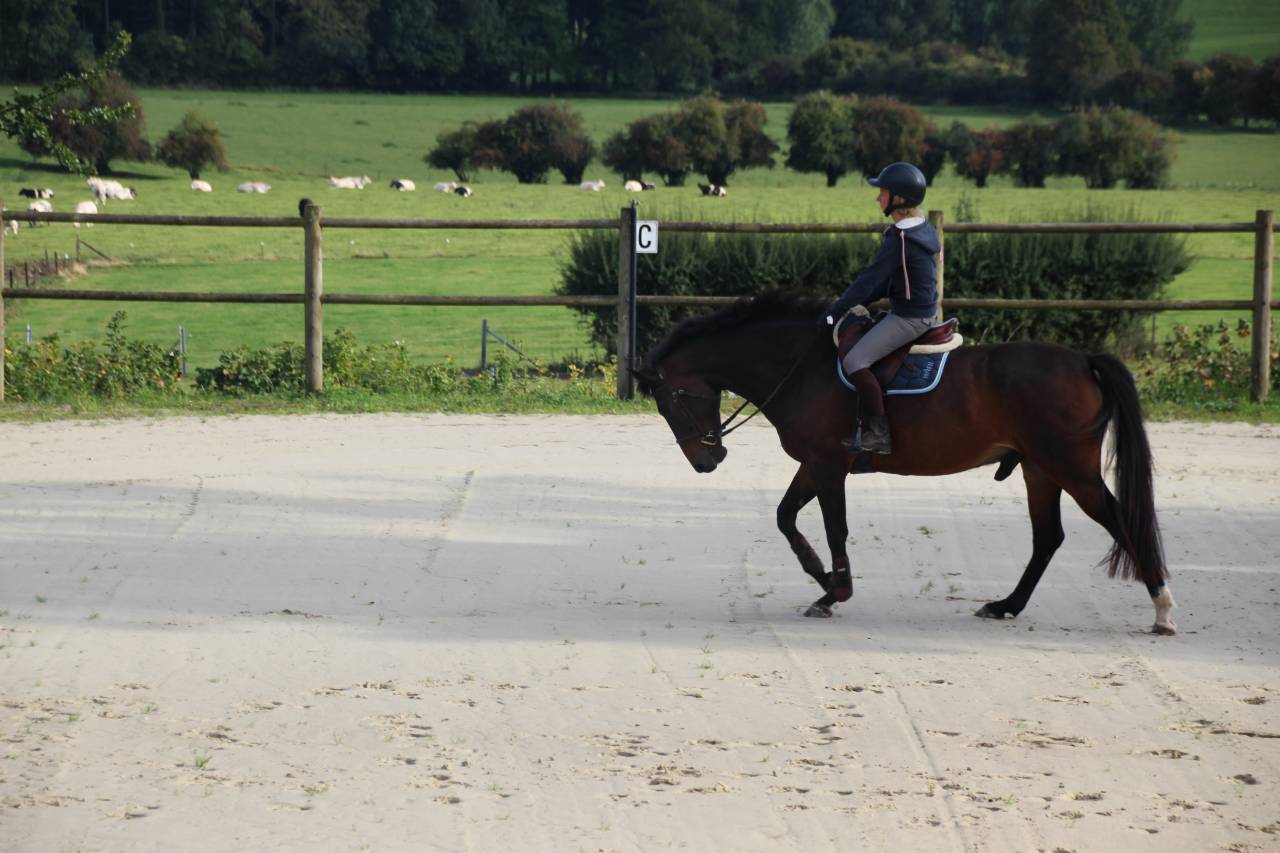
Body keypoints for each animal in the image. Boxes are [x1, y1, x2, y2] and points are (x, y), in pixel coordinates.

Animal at [632, 292, 1177, 635]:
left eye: (668, 401)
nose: (708, 459)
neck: (802, 365)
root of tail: (1082, 359)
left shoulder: (828, 466)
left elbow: (834, 528)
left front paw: (836, 591)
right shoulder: (814, 464)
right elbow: (786, 518)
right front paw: (824, 582)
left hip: (1072, 470)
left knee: (1119, 521)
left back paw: (1163, 610)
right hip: (1040, 470)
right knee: (1047, 539)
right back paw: (1005, 606)